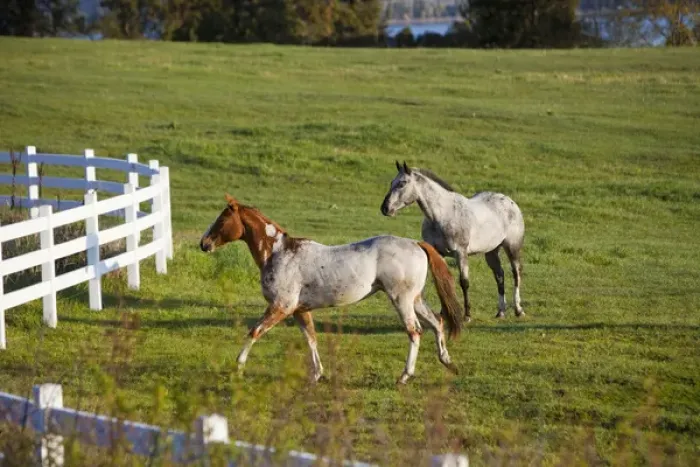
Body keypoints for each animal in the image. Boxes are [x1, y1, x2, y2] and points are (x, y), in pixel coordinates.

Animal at [199, 194, 464, 384]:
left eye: (222, 220)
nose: (203, 244)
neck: (279, 253)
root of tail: (417, 244)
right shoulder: (299, 310)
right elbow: (311, 338)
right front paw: (317, 374)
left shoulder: (281, 307)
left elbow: (254, 332)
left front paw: (238, 367)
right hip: (415, 299)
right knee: (437, 322)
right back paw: (447, 361)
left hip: (401, 299)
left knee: (415, 331)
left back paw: (405, 376)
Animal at [380, 161, 525, 321]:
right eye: (392, 183)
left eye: (402, 183)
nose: (385, 208)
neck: (442, 215)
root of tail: (510, 202)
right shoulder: (438, 253)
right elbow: (442, 281)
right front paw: (444, 314)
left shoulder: (460, 253)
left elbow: (464, 282)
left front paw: (467, 315)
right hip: (491, 252)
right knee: (499, 275)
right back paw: (501, 312)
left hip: (512, 247)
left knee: (516, 273)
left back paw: (518, 310)